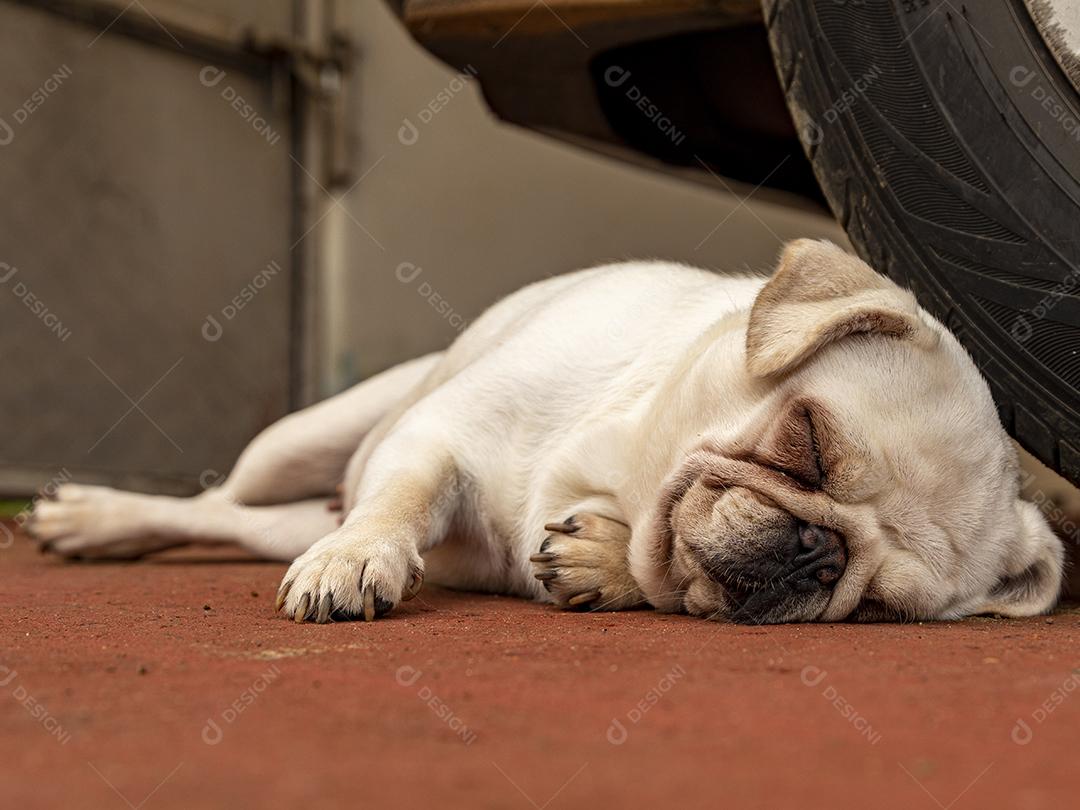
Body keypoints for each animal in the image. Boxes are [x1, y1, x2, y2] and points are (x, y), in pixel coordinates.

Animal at [31, 240, 1062, 626]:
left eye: (879, 606)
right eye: (805, 440)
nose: (816, 549)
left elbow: (634, 566)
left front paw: (601, 562)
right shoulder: (435, 438)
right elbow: (402, 499)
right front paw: (359, 558)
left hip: (285, 506)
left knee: (240, 526)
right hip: (296, 443)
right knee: (216, 502)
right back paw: (92, 518)